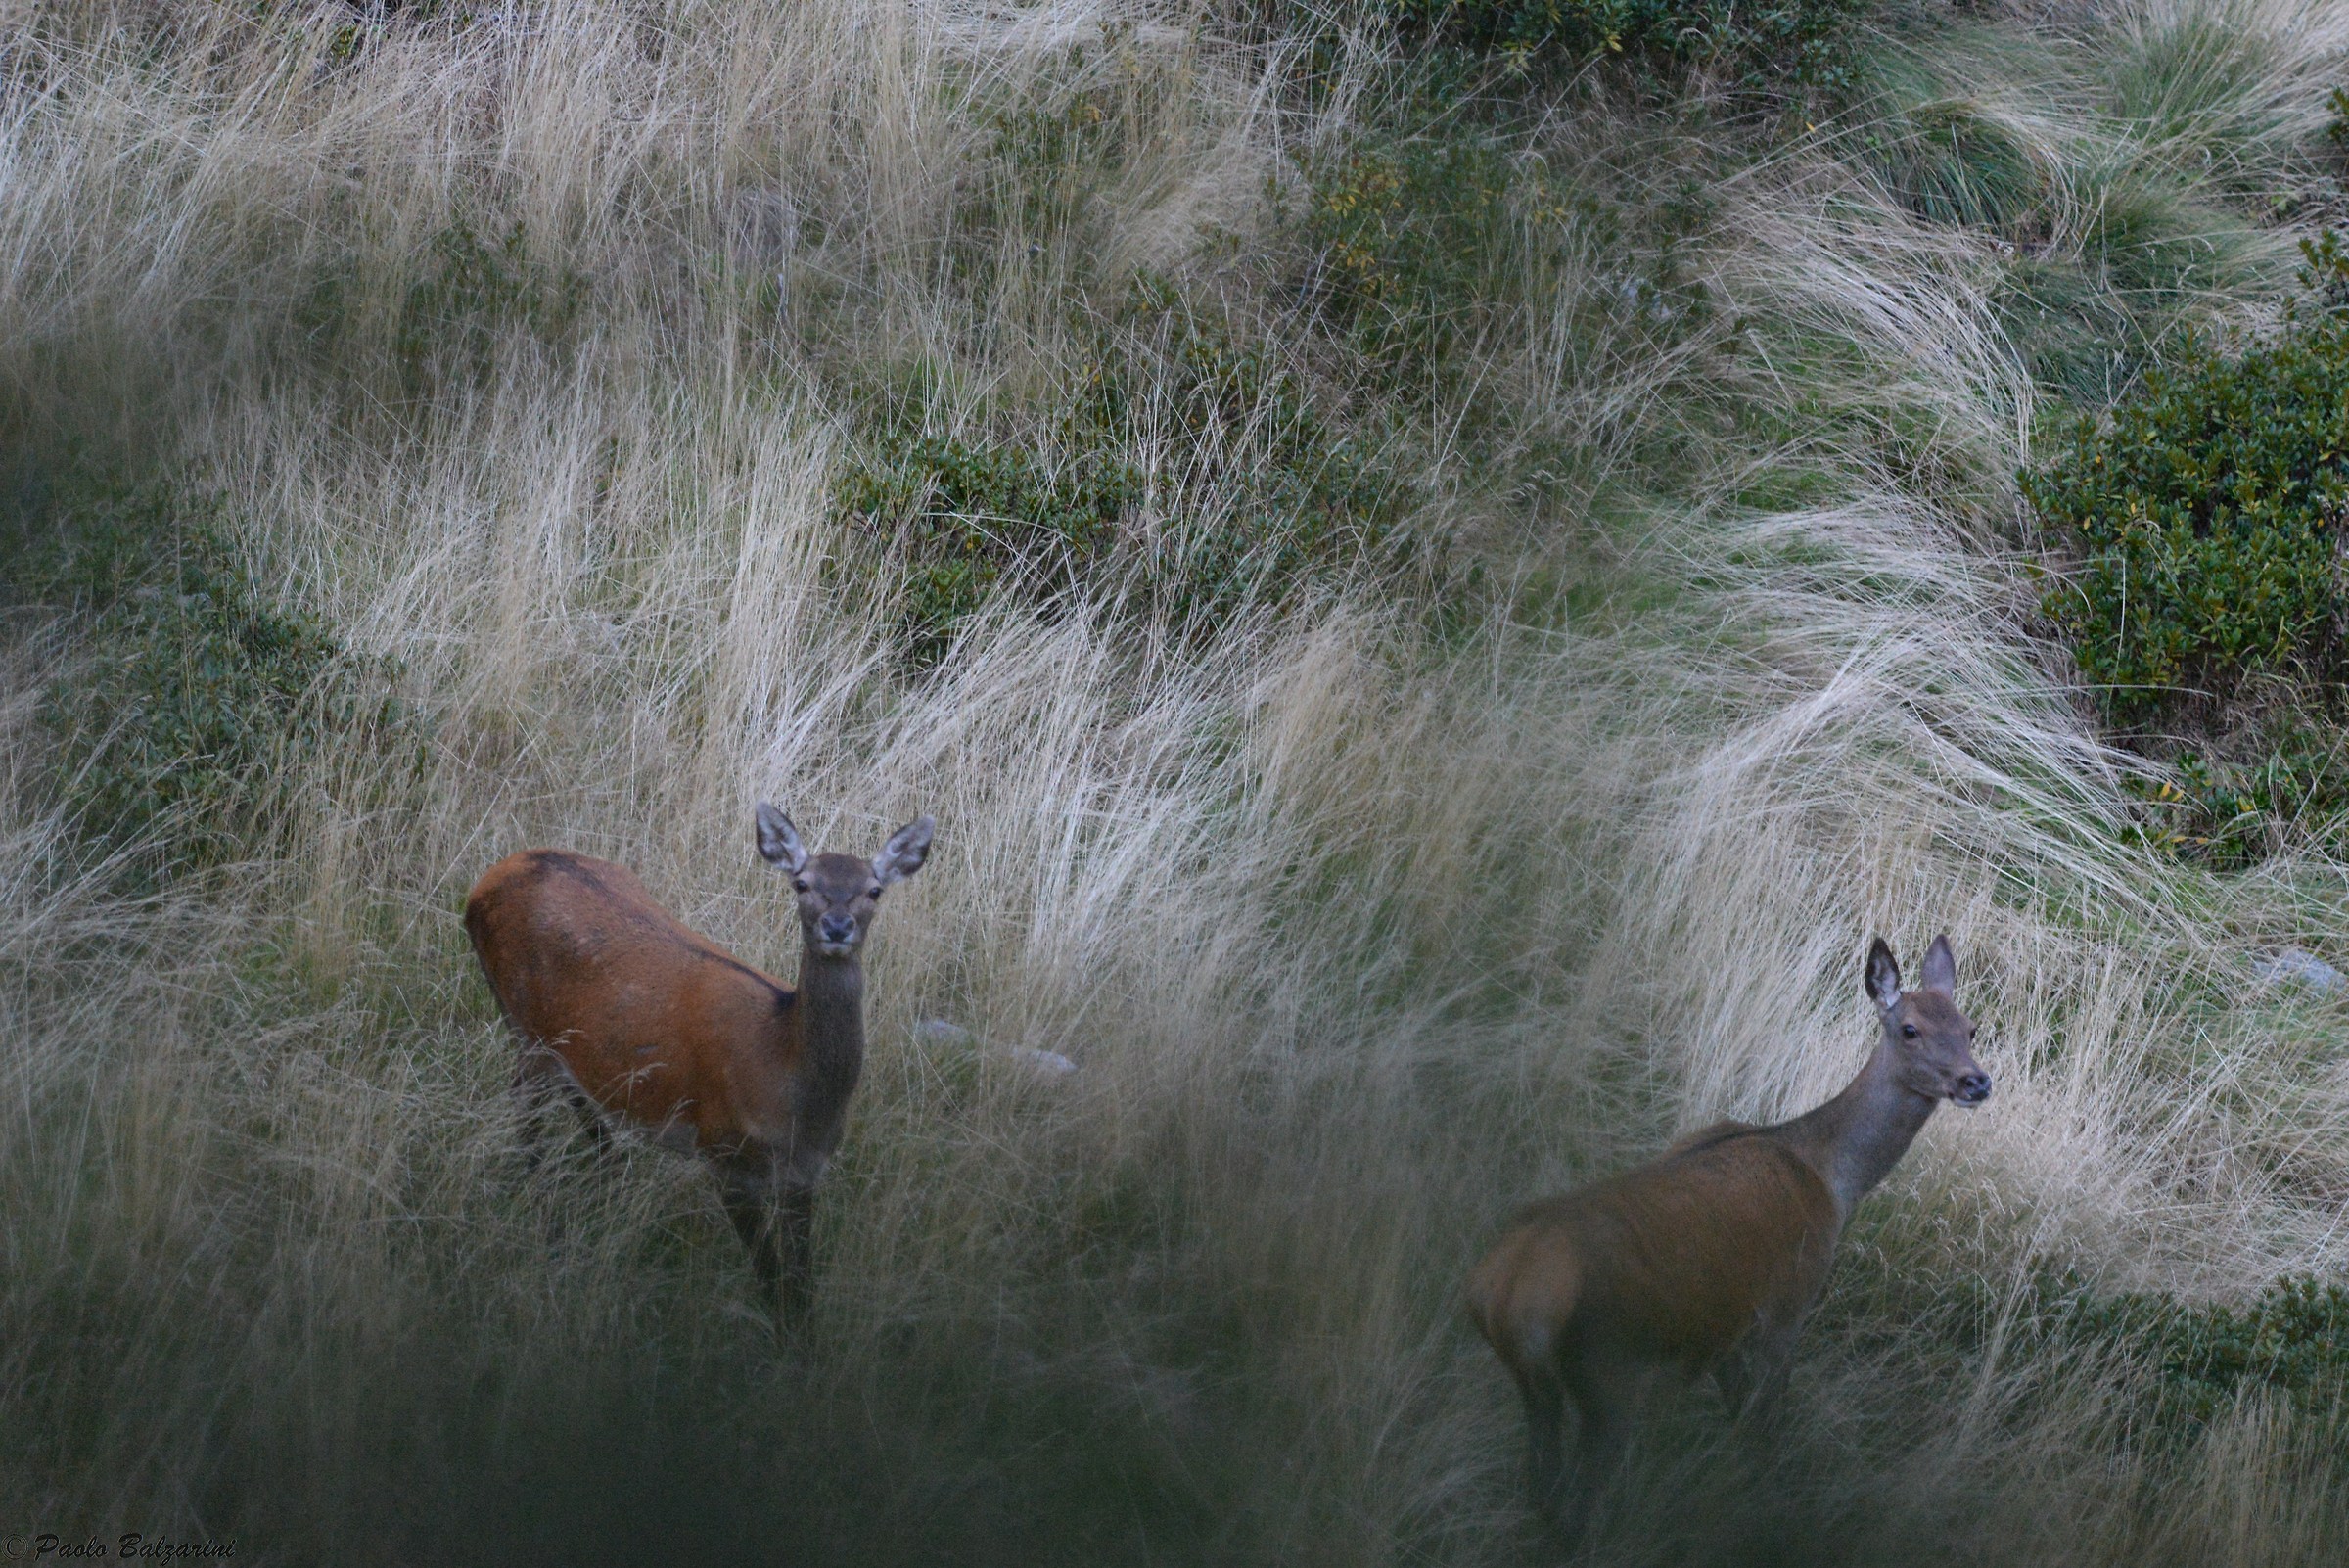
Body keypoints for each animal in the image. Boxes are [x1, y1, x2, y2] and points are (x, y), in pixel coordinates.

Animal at [463, 803, 934, 1333]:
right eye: (801, 883)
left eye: (874, 889)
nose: (836, 926)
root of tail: (488, 879)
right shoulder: (724, 1153)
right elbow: (772, 1281)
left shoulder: (806, 1172)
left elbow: (802, 1289)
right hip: (522, 1024)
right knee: (526, 1115)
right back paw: (550, 1231)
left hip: (559, 1039)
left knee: (581, 1100)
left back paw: (611, 1185)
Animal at [1464, 935, 1988, 1542]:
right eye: (1910, 1029)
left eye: (1971, 1028)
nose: (1976, 1081)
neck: (1832, 1177)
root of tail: (1505, 1293)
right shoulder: (1788, 1303)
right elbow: (1767, 1426)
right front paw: (1775, 1505)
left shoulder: (1726, 1325)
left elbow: (1739, 1417)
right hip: (1608, 1372)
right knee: (1577, 1504)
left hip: (1537, 1386)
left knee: (1542, 1490)